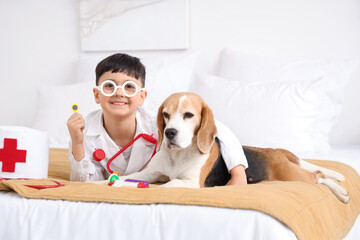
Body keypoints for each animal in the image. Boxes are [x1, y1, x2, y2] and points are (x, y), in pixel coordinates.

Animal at [119, 93, 350, 203]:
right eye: (165, 115)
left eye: (188, 115)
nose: (169, 133)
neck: (179, 155)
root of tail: (273, 150)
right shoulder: (151, 173)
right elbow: (128, 177)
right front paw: (114, 182)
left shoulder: (192, 182)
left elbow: (170, 184)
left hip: (293, 176)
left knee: (319, 175)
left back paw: (340, 192)